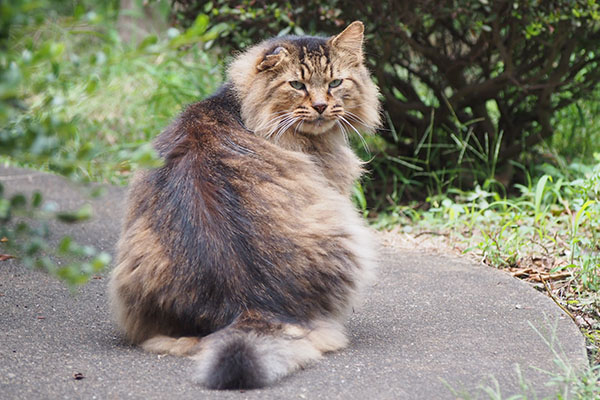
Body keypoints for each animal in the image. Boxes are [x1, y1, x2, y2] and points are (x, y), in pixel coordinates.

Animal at [108, 20, 380, 390]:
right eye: (297, 85)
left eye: (336, 82)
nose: (322, 106)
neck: (242, 107)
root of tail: (245, 303)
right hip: (349, 235)